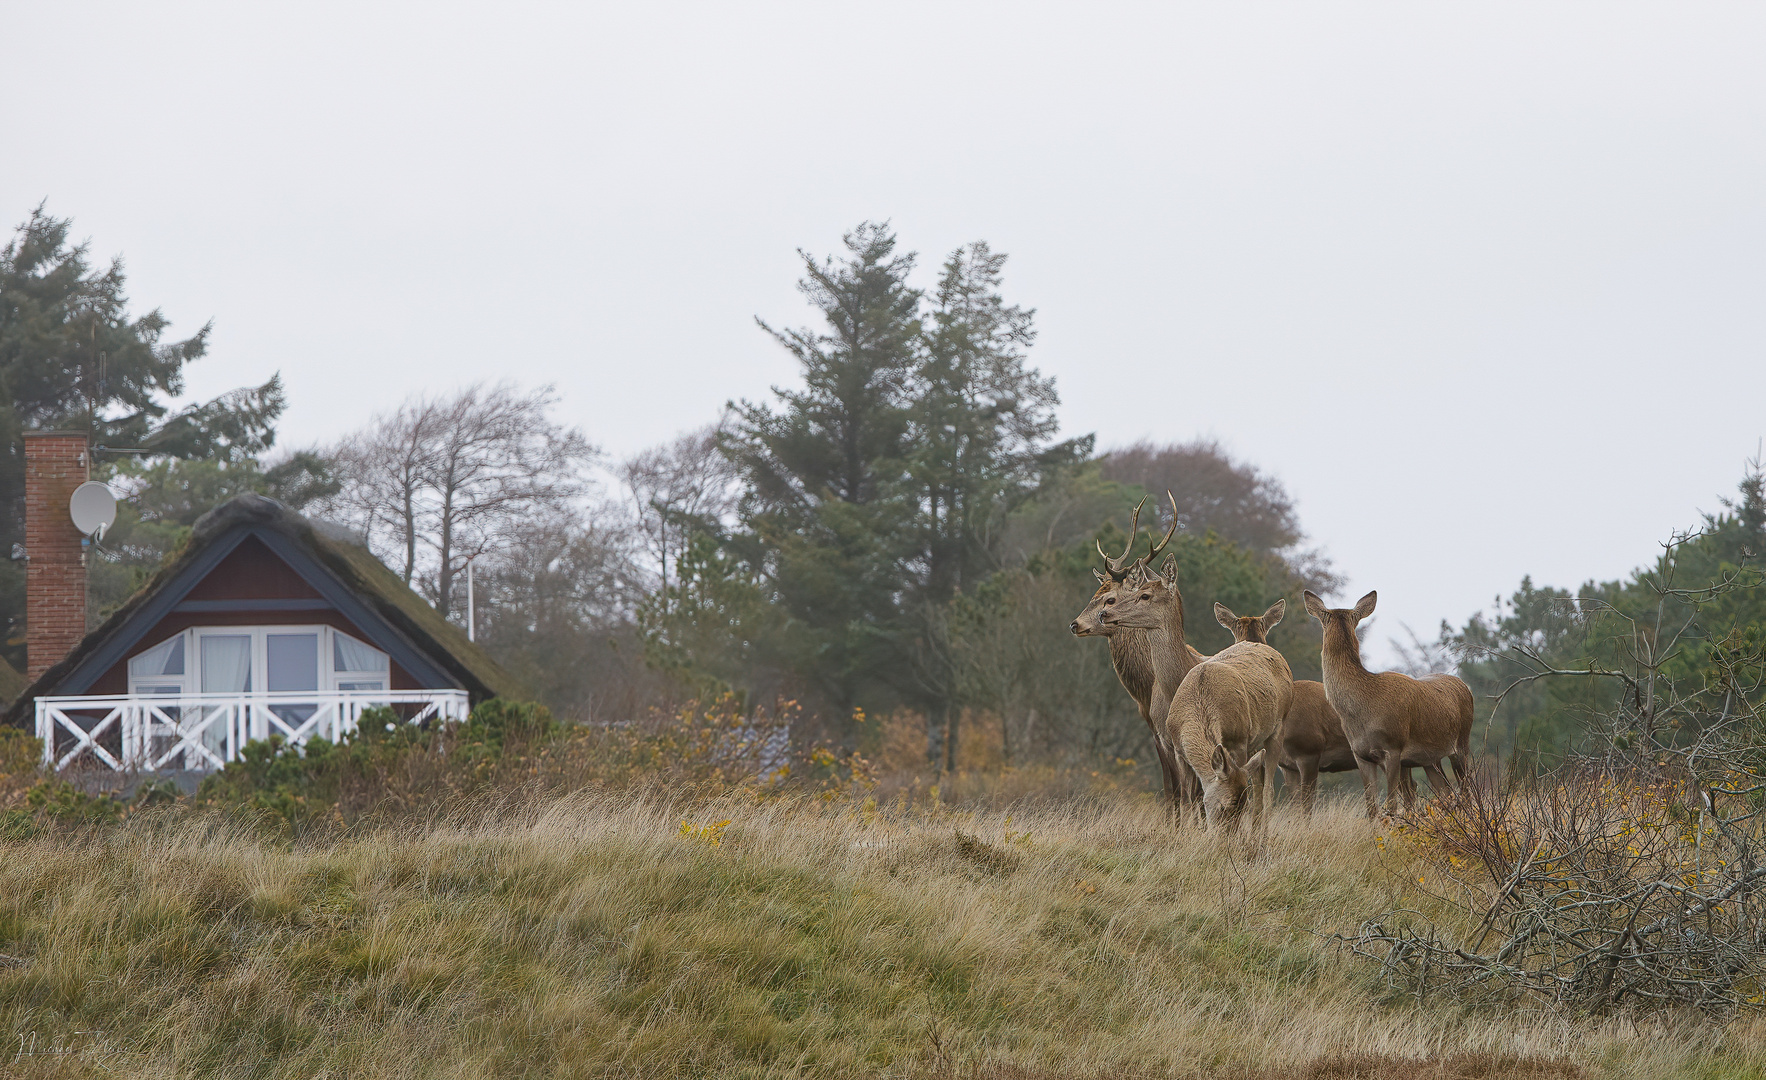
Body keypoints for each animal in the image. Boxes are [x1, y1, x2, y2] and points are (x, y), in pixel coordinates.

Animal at [1059, 494, 1200, 804]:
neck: (1146, 689)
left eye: (1110, 599)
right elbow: (1170, 788)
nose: (1075, 624)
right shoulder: (1154, 733)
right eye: (1094, 594)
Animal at [1094, 557, 1292, 825]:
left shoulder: (1236, 744)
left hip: (1277, 730)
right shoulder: (1166, 741)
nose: (1104, 614)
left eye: (1144, 595)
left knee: (1266, 789)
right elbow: (1183, 794)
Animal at [1299, 589, 1476, 818]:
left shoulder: (1393, 747)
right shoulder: (1361, 755)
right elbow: (1372, 808)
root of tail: (1465, 686)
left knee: (1466, 791)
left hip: (1462, 742)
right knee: (1446, 792)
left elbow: (1392, 805)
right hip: (1430, 758)